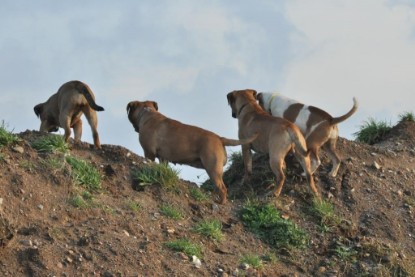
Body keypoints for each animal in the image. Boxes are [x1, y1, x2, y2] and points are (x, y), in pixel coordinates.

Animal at [127, 99, 258, 203]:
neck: (147, 113)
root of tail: (220, 138)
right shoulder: (163, 158)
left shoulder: (149, 153)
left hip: (212, 169)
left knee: (222, 188)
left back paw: (221, 202)